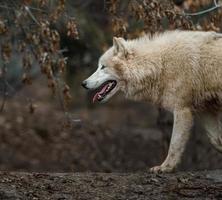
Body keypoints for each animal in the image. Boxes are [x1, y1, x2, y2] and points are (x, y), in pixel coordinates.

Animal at [82, 30, 222, 173]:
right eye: (99, 66)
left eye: (103, 67)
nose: (84, 83)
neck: (160, 64)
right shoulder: (207, 110)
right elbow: (216, 141)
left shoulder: (182, 110)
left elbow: (174, 144)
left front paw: (165, 167)